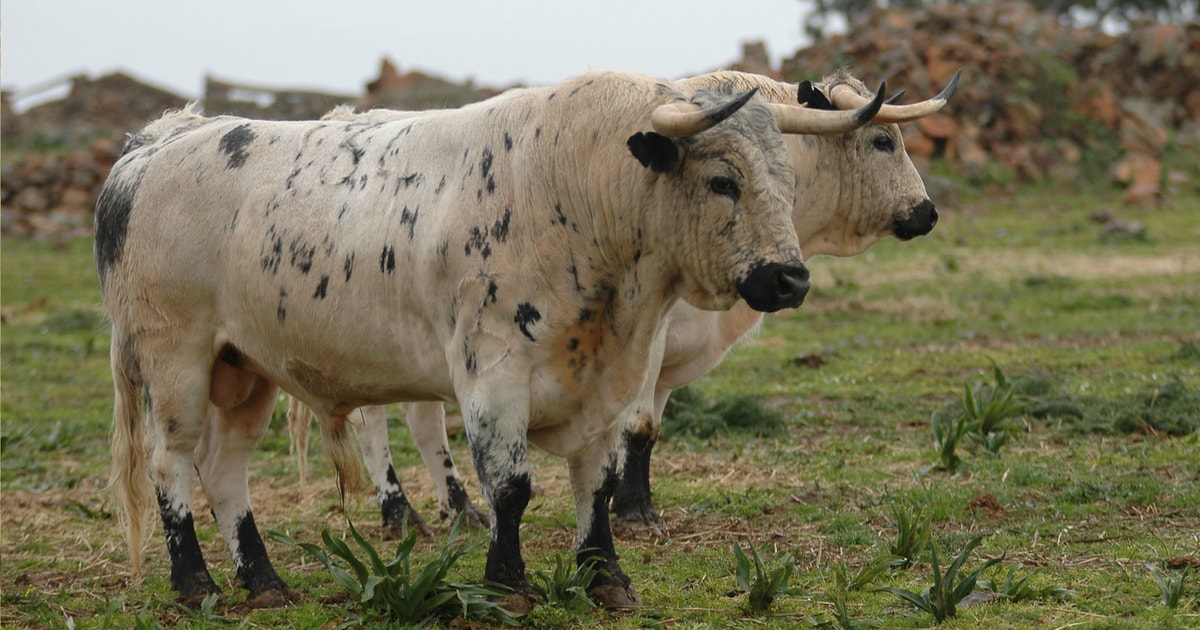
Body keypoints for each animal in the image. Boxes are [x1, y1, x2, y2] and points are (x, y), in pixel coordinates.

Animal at [98, 68, 888, 609]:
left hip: (244, 369)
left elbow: (597, 483)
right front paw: (507, 584)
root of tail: (154, 146)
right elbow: (511, 487)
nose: (789, 279)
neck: (578, 191)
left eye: (788, 178)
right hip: (175, 360)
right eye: (723, 180)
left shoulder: (611, 382)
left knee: (224, 469)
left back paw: (262, 579)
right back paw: (195, 581)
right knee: (173, 465)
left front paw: (606, 578)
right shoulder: (493, 377)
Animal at [290, 67, 955, 540]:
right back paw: (399, 511)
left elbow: (646, 429)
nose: (927, 213)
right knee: (374, 419)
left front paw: (636, 504)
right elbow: (633, 425)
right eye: (881, 140)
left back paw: (460, 510)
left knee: (421, 416)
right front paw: (634, 514)